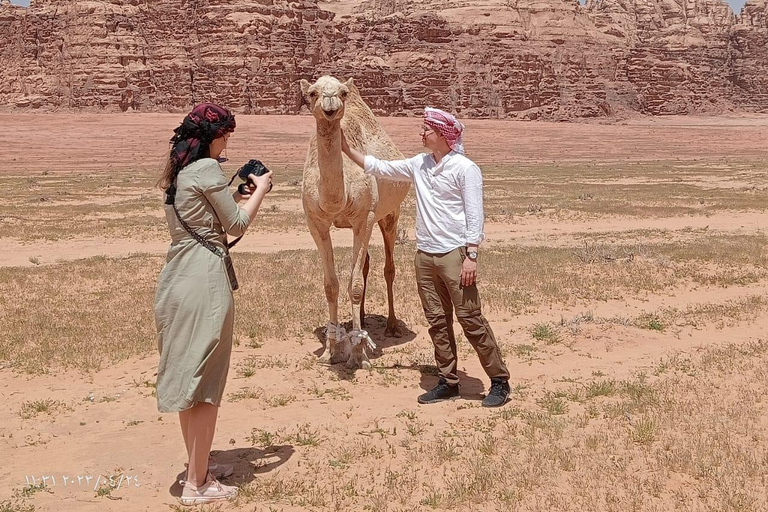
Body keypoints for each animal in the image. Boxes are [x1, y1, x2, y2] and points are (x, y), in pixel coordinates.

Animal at [300, 75, 412, 368]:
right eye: (312, 93)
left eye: (343, 92)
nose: (330, 106)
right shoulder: (316, 222)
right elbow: (332, 285)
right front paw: (330, 351)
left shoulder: (365, 217)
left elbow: (356, 287)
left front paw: (358, 354)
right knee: (366, 265)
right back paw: (358, 321)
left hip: (389, 215)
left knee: (388, 267)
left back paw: (391, 326)